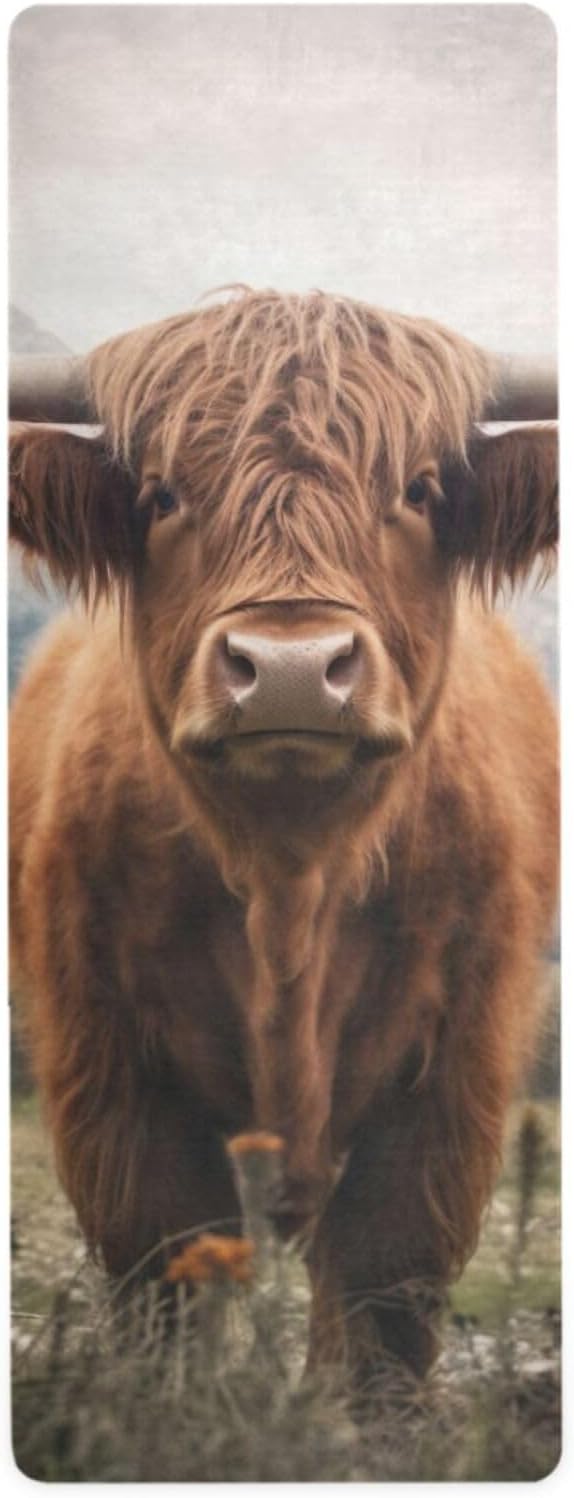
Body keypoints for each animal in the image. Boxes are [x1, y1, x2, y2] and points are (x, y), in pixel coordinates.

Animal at [9, 290, 558, 1386]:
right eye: (162, 494)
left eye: (419, 489)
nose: (294, 668)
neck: (291, 880)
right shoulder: (110, 1066)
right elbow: (168, 1277)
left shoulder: (452, 1072)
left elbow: (383, 1296)